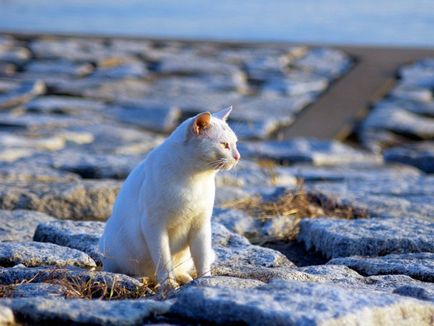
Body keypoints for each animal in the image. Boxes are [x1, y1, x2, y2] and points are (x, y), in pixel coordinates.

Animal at [98, 105, 239, 290]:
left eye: (236, 143)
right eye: (224, 145)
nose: (238, 157)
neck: (195, 180)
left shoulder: (201, 225)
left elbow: (201, 257)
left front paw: (205, 280)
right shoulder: (154, 226)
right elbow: (163, 258)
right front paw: (168, 284)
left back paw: (183, 277)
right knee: (124, 270)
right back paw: (142, 278)